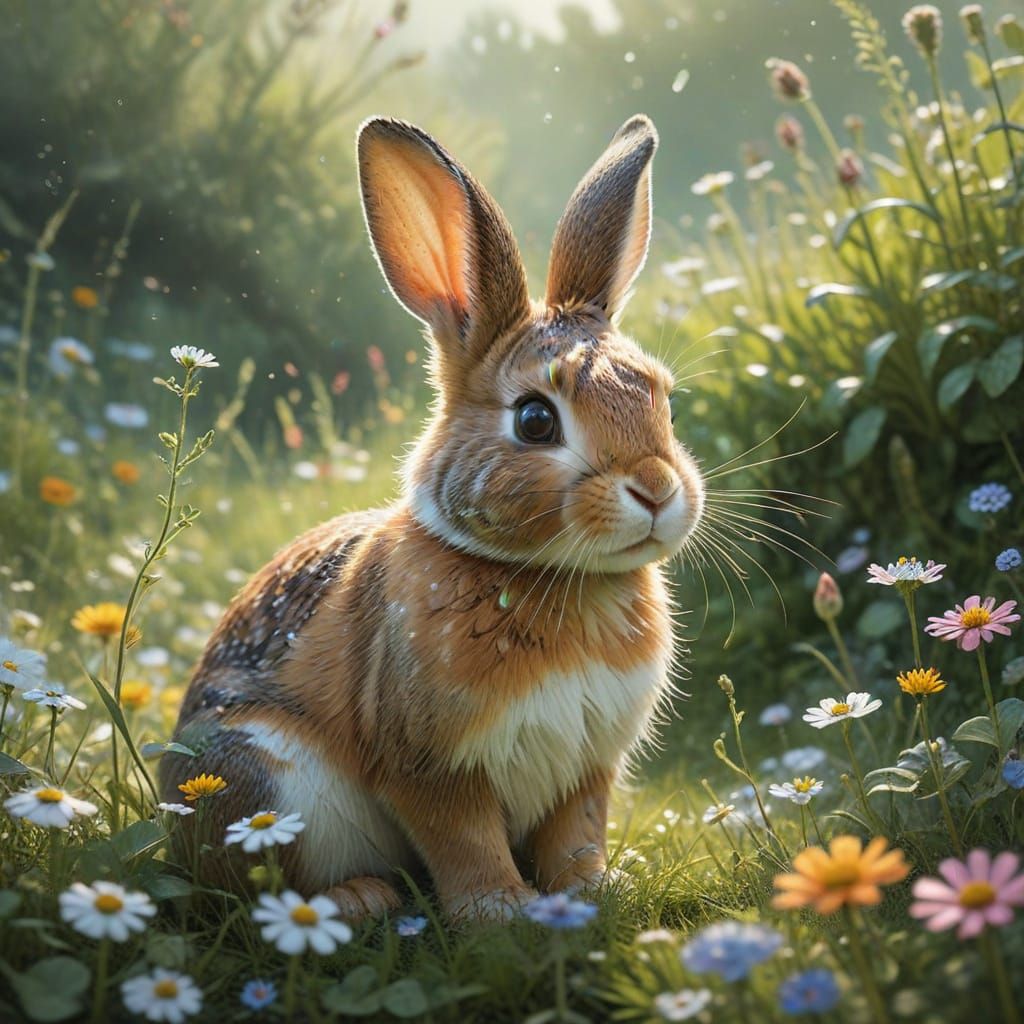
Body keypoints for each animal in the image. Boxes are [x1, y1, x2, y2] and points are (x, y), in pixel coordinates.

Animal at [160, 112, 705, 922]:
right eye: (536, 420)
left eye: (660, 396)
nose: (659, 488)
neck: (549, 575)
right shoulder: (430, 766)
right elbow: (463, 840)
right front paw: (499, 912)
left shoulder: (585, 767)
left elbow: (577, 836)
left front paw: (593, 892)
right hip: (267, 781)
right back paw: (360, 898)